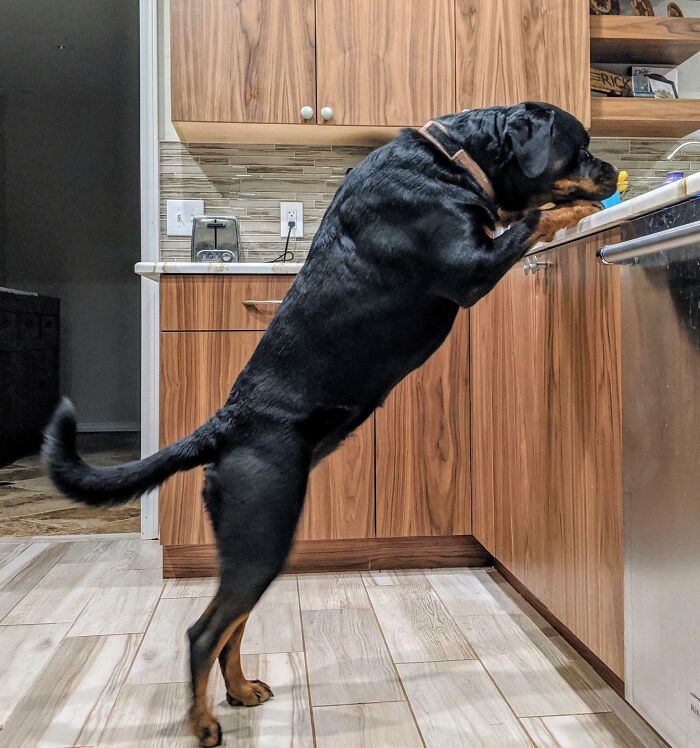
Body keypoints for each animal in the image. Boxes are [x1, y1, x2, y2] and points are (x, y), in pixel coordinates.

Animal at [43, 102, 616, 744]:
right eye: (580, 146)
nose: (612, 171)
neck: (451, 159)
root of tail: (225, 424)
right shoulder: (471, 267)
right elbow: (534, 218)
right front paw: (578, 209)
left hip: (259, 544)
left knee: (231, 627)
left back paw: (240, 691)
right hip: (263, 531)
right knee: (204, 631)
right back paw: (203, 722)